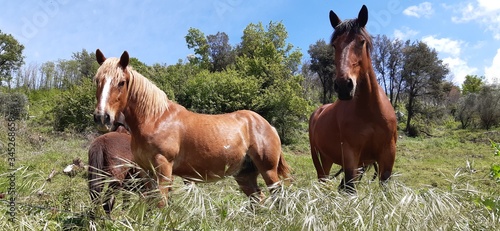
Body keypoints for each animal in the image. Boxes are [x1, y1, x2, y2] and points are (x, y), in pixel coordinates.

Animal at [92, 48, 292, 206]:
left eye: (121, 82)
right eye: (97, 80)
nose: (102, 117)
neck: (155, 119)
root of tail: (267, 125)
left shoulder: (164, 170)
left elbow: (160, 204)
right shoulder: (146, 172)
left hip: (269, 171)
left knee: (278, 199)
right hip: (244, 175)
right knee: (259, 200)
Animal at [306, 5, 396, 193]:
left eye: (361, 41)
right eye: (334, 45)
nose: (343, 85)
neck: (370, 112)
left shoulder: (387, 157)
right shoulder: (350, 155)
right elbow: (350, 188)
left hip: (329, 158)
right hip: (319, 158)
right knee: (322, 180)